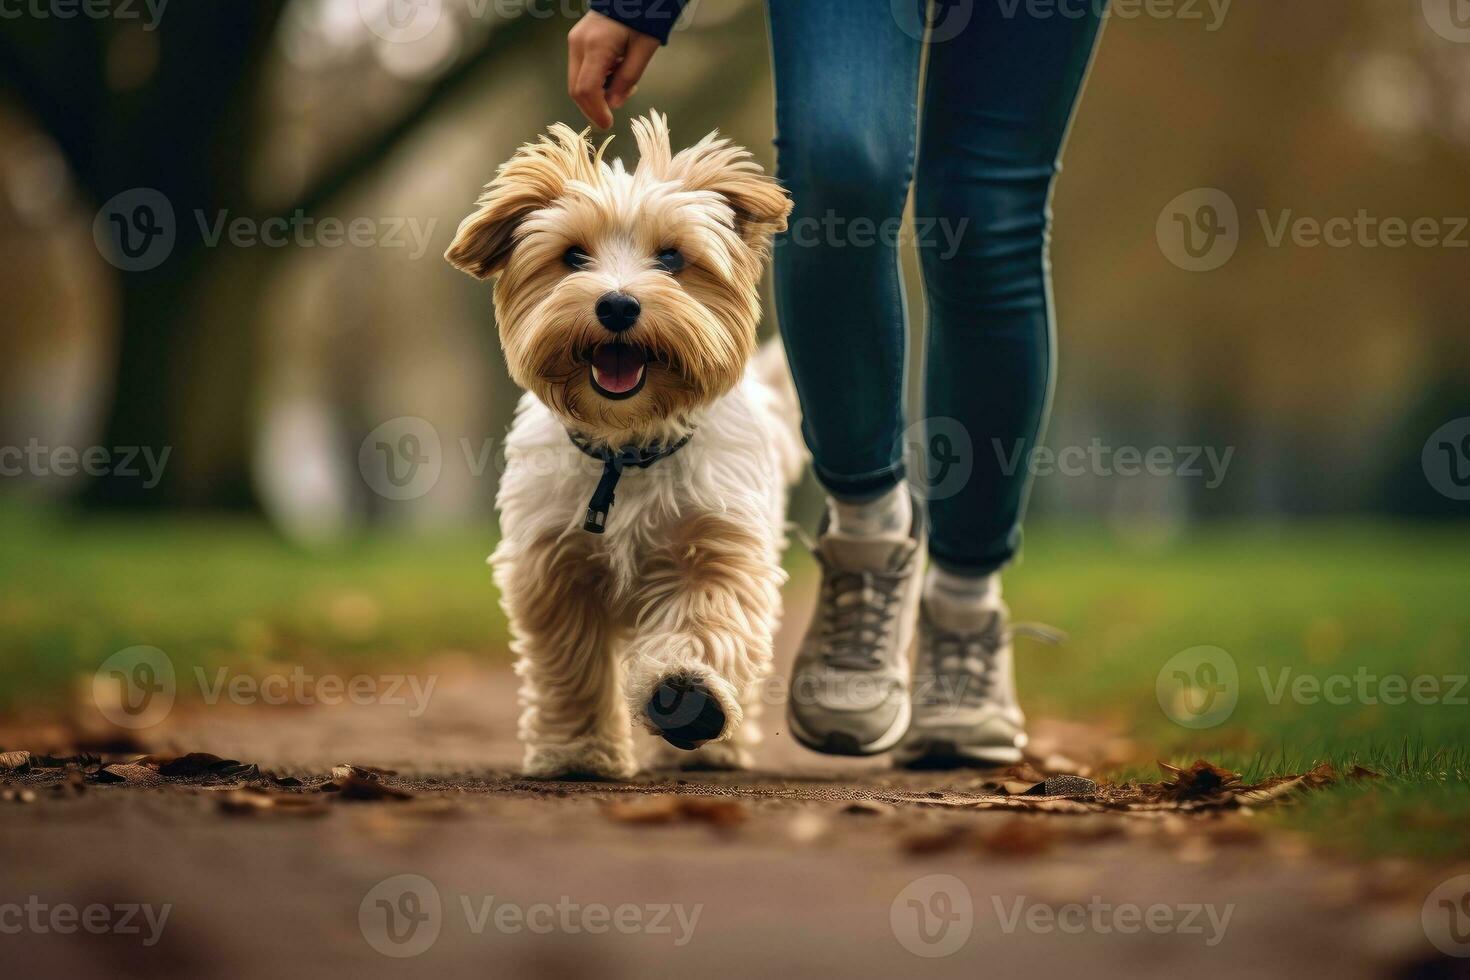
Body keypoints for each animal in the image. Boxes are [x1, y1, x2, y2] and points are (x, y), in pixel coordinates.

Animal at [441, 110, 799, 775]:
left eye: (672, 257)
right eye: (573, 256)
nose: (617, 304)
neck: (627, 449)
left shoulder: (718, 546)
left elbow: (707, 620)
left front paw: (688, 696)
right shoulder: (554, 567)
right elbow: (572, 666)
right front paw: (578, 751)